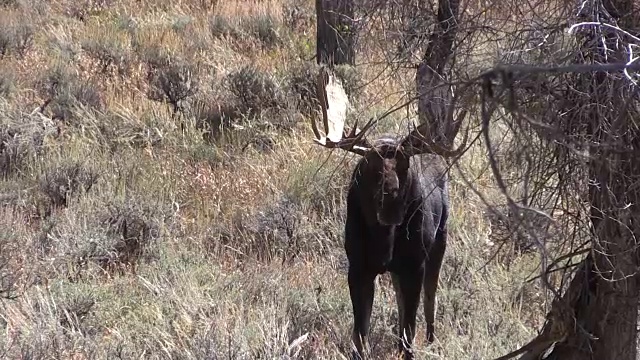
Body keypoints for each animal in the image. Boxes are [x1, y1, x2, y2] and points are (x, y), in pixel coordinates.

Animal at [312, 66, 468, 358]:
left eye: (405, 165)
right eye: (370, 165)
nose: (391, 201)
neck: (384, 240)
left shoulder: (414, 264)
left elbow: (410, 326)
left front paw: (409, 349)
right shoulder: (358, 267)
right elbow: (360, 331)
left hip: (439, 240)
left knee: (430, 297)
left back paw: (432, 340)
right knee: (400, 301)